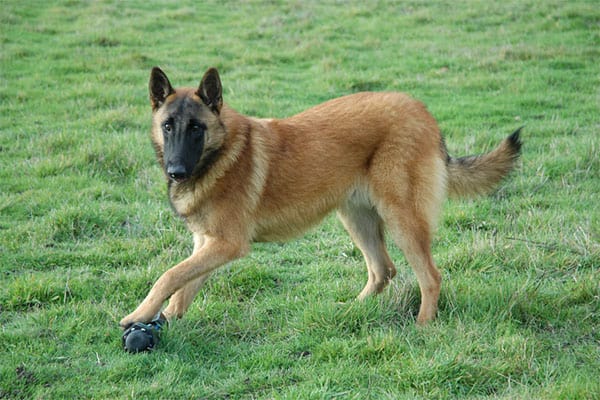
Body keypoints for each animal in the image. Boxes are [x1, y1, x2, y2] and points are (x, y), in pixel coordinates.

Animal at [118, 67, 520, 330]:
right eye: (168, 126)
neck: (220, 153)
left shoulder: (226, 244)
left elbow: (169, 275)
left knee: (430, 277)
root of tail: (423, 113)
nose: (176, 172)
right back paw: (351, 311)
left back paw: (423, 326)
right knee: (383, 270)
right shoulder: (208, 242)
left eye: (196, 129)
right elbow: (185, 284)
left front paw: (139, 315)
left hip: (401, 219)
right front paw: (166, 318)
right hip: (356, 218)